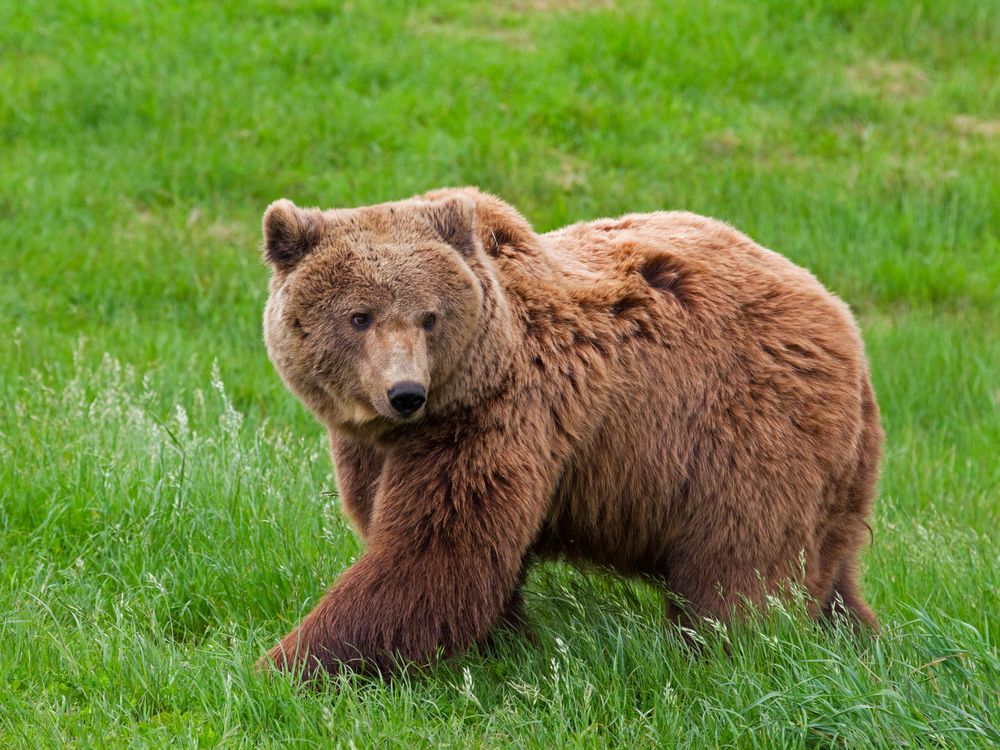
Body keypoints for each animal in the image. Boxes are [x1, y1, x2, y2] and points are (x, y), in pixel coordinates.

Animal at [260, 188, 884, 680]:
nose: (405, 392)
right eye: (359, 317)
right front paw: (509, 642)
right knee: (830, 568)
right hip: (832, 470)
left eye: (429, 317)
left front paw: (281, 666)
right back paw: (857, 639)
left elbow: (432, 557)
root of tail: (843, 321)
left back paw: (721, 653)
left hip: (748, 431)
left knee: (741, 567)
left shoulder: (500, 416)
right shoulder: (373, 448)